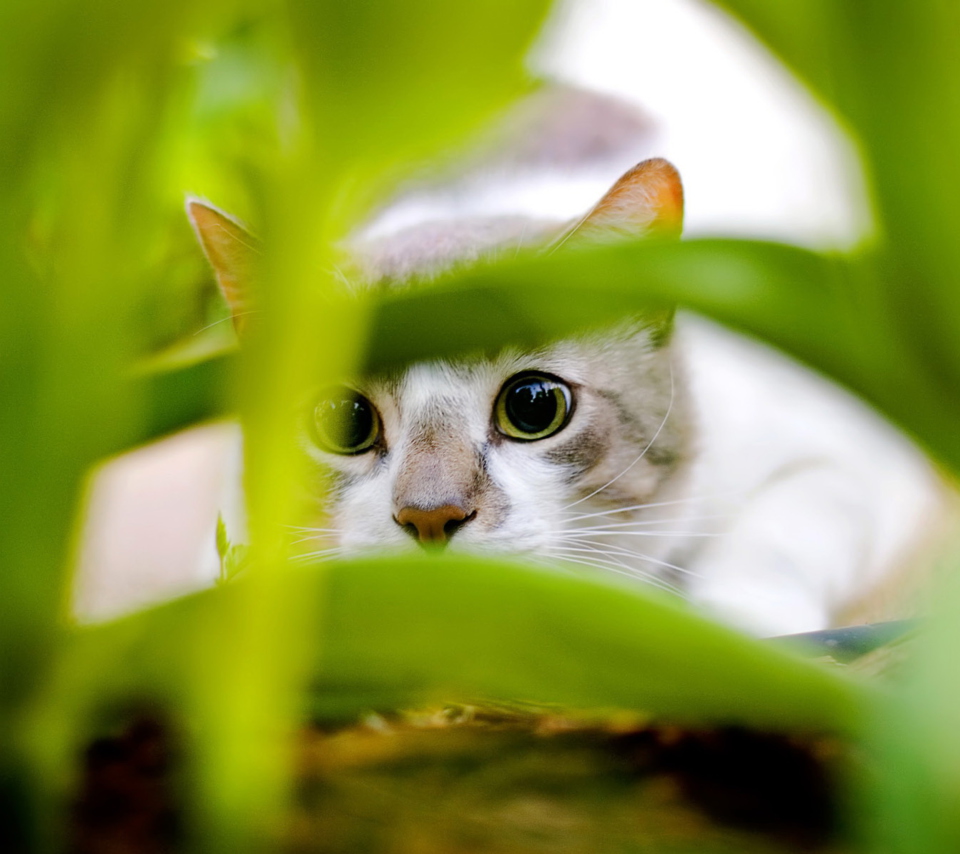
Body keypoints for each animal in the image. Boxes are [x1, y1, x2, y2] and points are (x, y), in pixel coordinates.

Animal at [186, 157, 936, 640]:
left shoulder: (845, 446)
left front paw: (741, 626)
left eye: (533, 406)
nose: (430, 516)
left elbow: (786, 528)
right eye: (344, 422)